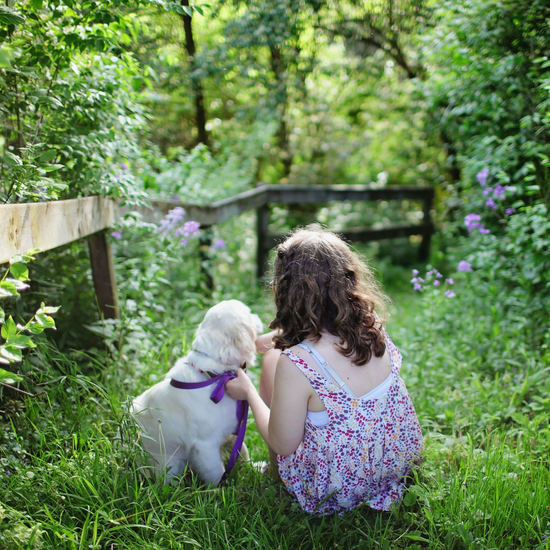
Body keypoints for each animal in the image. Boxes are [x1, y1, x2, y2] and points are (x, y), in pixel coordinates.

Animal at [133, 302, 264, 488]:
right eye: (249, 313)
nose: (259, 316)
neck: (214, 375)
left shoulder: (232, 430)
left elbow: (242, 451)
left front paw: (254, 468)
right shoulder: (205, 446)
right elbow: (217, 473)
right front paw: (222, 490)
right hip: (170, 465)